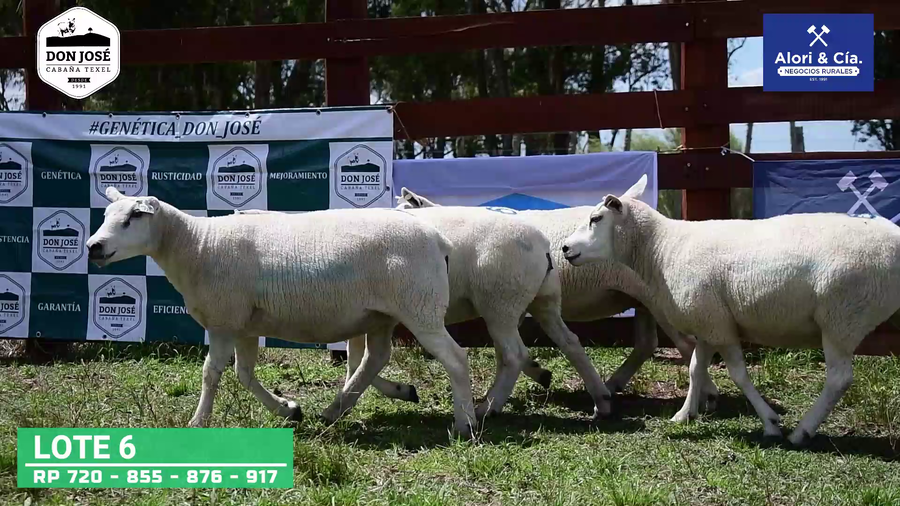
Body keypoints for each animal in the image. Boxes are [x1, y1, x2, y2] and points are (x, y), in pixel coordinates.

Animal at [86, 187, 478, 438]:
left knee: (455, 358)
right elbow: (244, 374)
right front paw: (288, 409)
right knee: (375, 357)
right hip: (384, 313)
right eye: (105, 215)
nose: (93, 247)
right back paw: (343, 407)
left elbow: (211, 374)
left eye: (134, 216)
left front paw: (198, 422)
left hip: (420, 307)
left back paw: (466, 423)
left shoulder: (223, 319)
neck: (197, 245)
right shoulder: (243, 324)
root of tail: (438, 239)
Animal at [391, 188, 713, 406]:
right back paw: (611, 386)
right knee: (648, 343)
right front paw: (538, 372)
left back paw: (708, 393)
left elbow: (510, 351)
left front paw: (531, 375)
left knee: (684, 342)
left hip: (654, 300)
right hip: (642, 300)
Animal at [560, 174, 900, 445]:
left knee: (839, 379)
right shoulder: (709, 321)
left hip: (842, 316)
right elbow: (695, 368)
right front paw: (684, 414)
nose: (564, 248)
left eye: (596, 219)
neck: (661, 248)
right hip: (844, 318)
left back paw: (801, 431)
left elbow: (738, 374)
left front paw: (770, 423)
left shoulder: (719, 326)